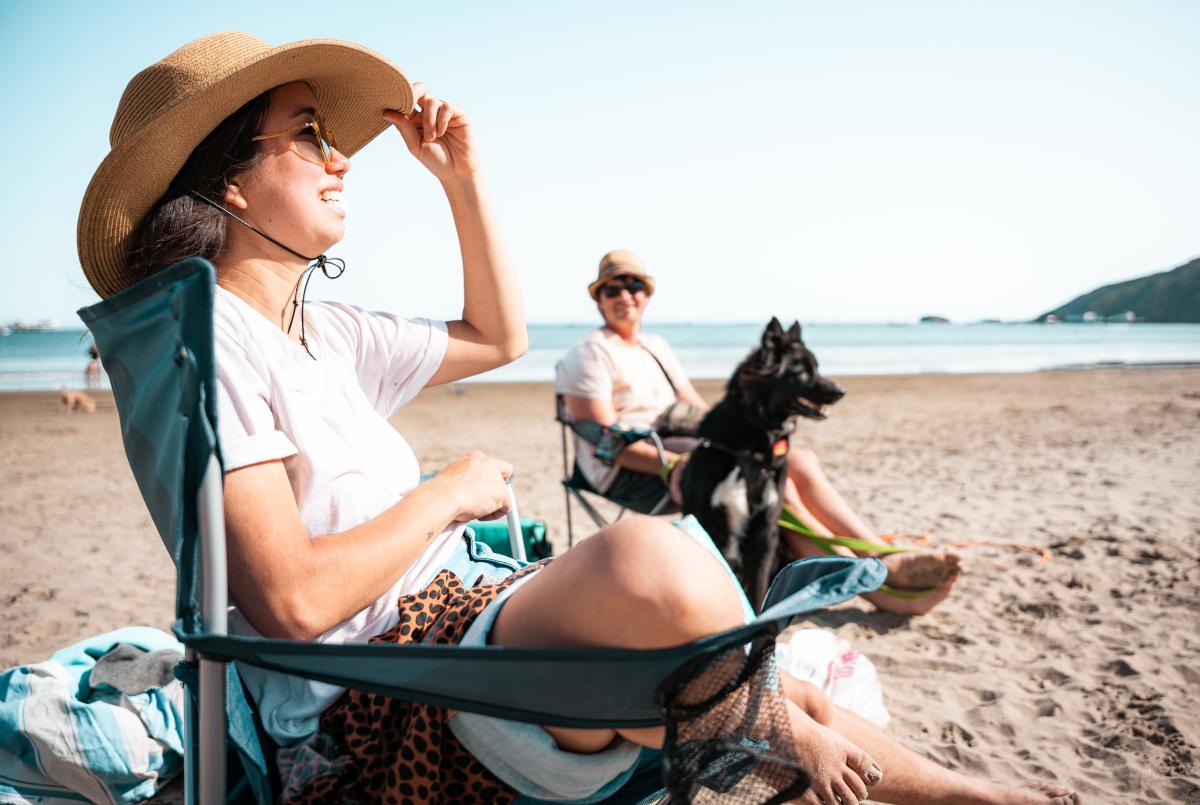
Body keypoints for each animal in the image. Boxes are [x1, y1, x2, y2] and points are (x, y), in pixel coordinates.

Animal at [681, 319, 849, 607]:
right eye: (803, 372)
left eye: (817, 367)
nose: (840, 391)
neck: (752, 448)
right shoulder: (707, 519)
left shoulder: (766, 529)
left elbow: (758, 588)